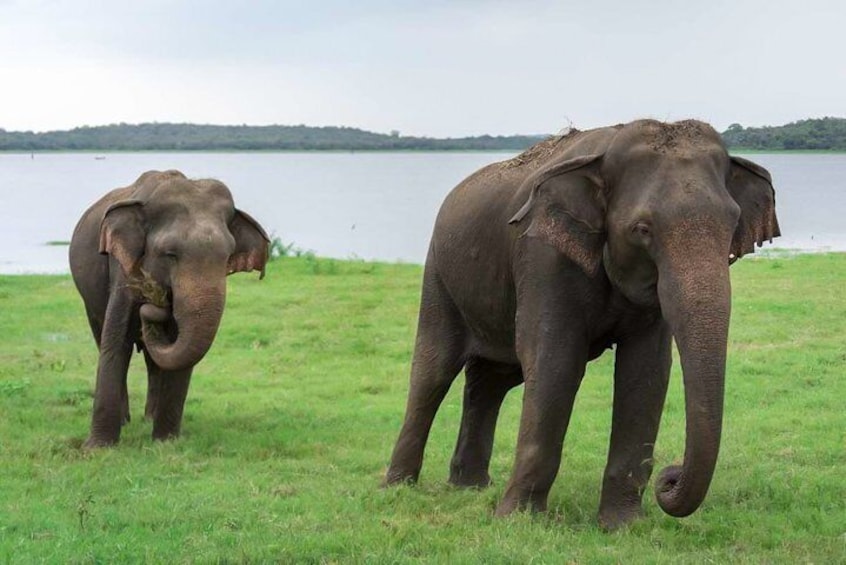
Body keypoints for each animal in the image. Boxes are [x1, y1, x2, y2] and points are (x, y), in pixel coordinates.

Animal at [69, 170, 269, 448]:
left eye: (227, 256)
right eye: (170, 254)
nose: (155, 301)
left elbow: (179, 346)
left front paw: (165, 443)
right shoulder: (122, 266)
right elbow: (116, 341)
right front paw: (96, 448)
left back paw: (149, 419)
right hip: (89, 298)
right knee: (102, 336)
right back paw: (126, 421)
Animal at [384, 119, 780, 529]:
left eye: (733, 223)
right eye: (642, 229)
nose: (668, 477)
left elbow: (646, 372)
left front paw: (621, 526)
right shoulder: (544, 257)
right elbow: (555, 364)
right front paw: (518, 522)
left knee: (491, 380)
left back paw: (469, 487)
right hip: (438, 276)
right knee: (433, 372)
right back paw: (398, 486)